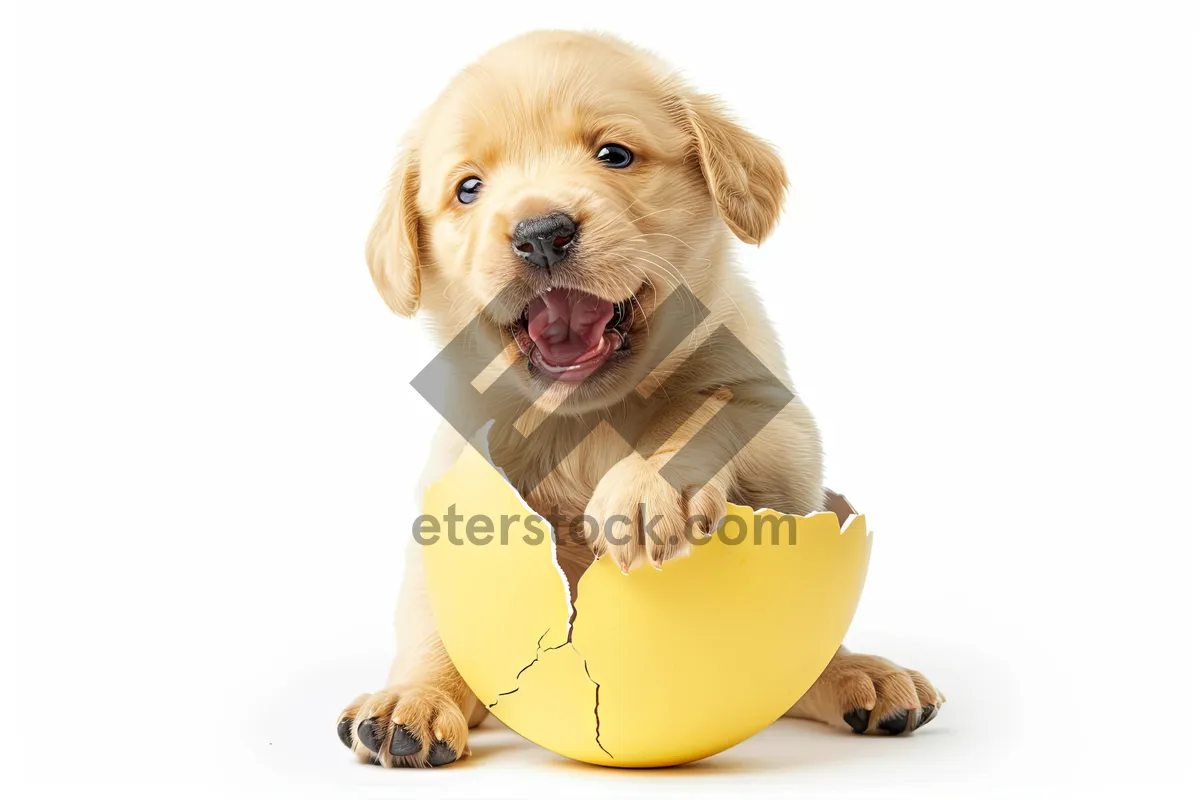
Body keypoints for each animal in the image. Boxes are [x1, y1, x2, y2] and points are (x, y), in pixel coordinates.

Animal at [336, 29, 936, 767]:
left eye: (615, 155)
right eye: (467, 188)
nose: (541, 234)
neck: (587, 415)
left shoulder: (784, 426)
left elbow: (711, 404)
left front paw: (648, 487)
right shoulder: (454, 479)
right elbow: (433, 616)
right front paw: (415, 695)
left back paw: (862, 674)